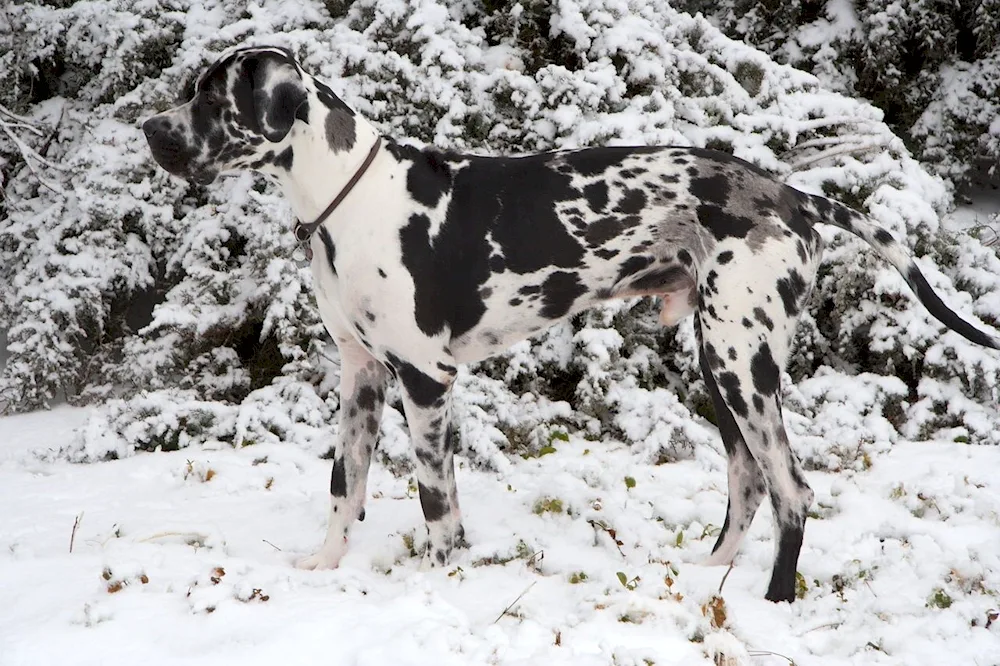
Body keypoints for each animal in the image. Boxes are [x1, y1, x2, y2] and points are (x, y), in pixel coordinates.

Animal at [145, 44, 996, 600]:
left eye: (210, 99)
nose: (152, 131)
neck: (348, 201)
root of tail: (791, 194)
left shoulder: (426, 381)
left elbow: (435, 504)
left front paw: (442, 586)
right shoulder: (361, 377)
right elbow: (344, 486)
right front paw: (324, 569)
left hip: (740, 366)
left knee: (792, 488)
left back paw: (775, 601)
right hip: (720, 366)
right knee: (750, 478)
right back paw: (708, 575)